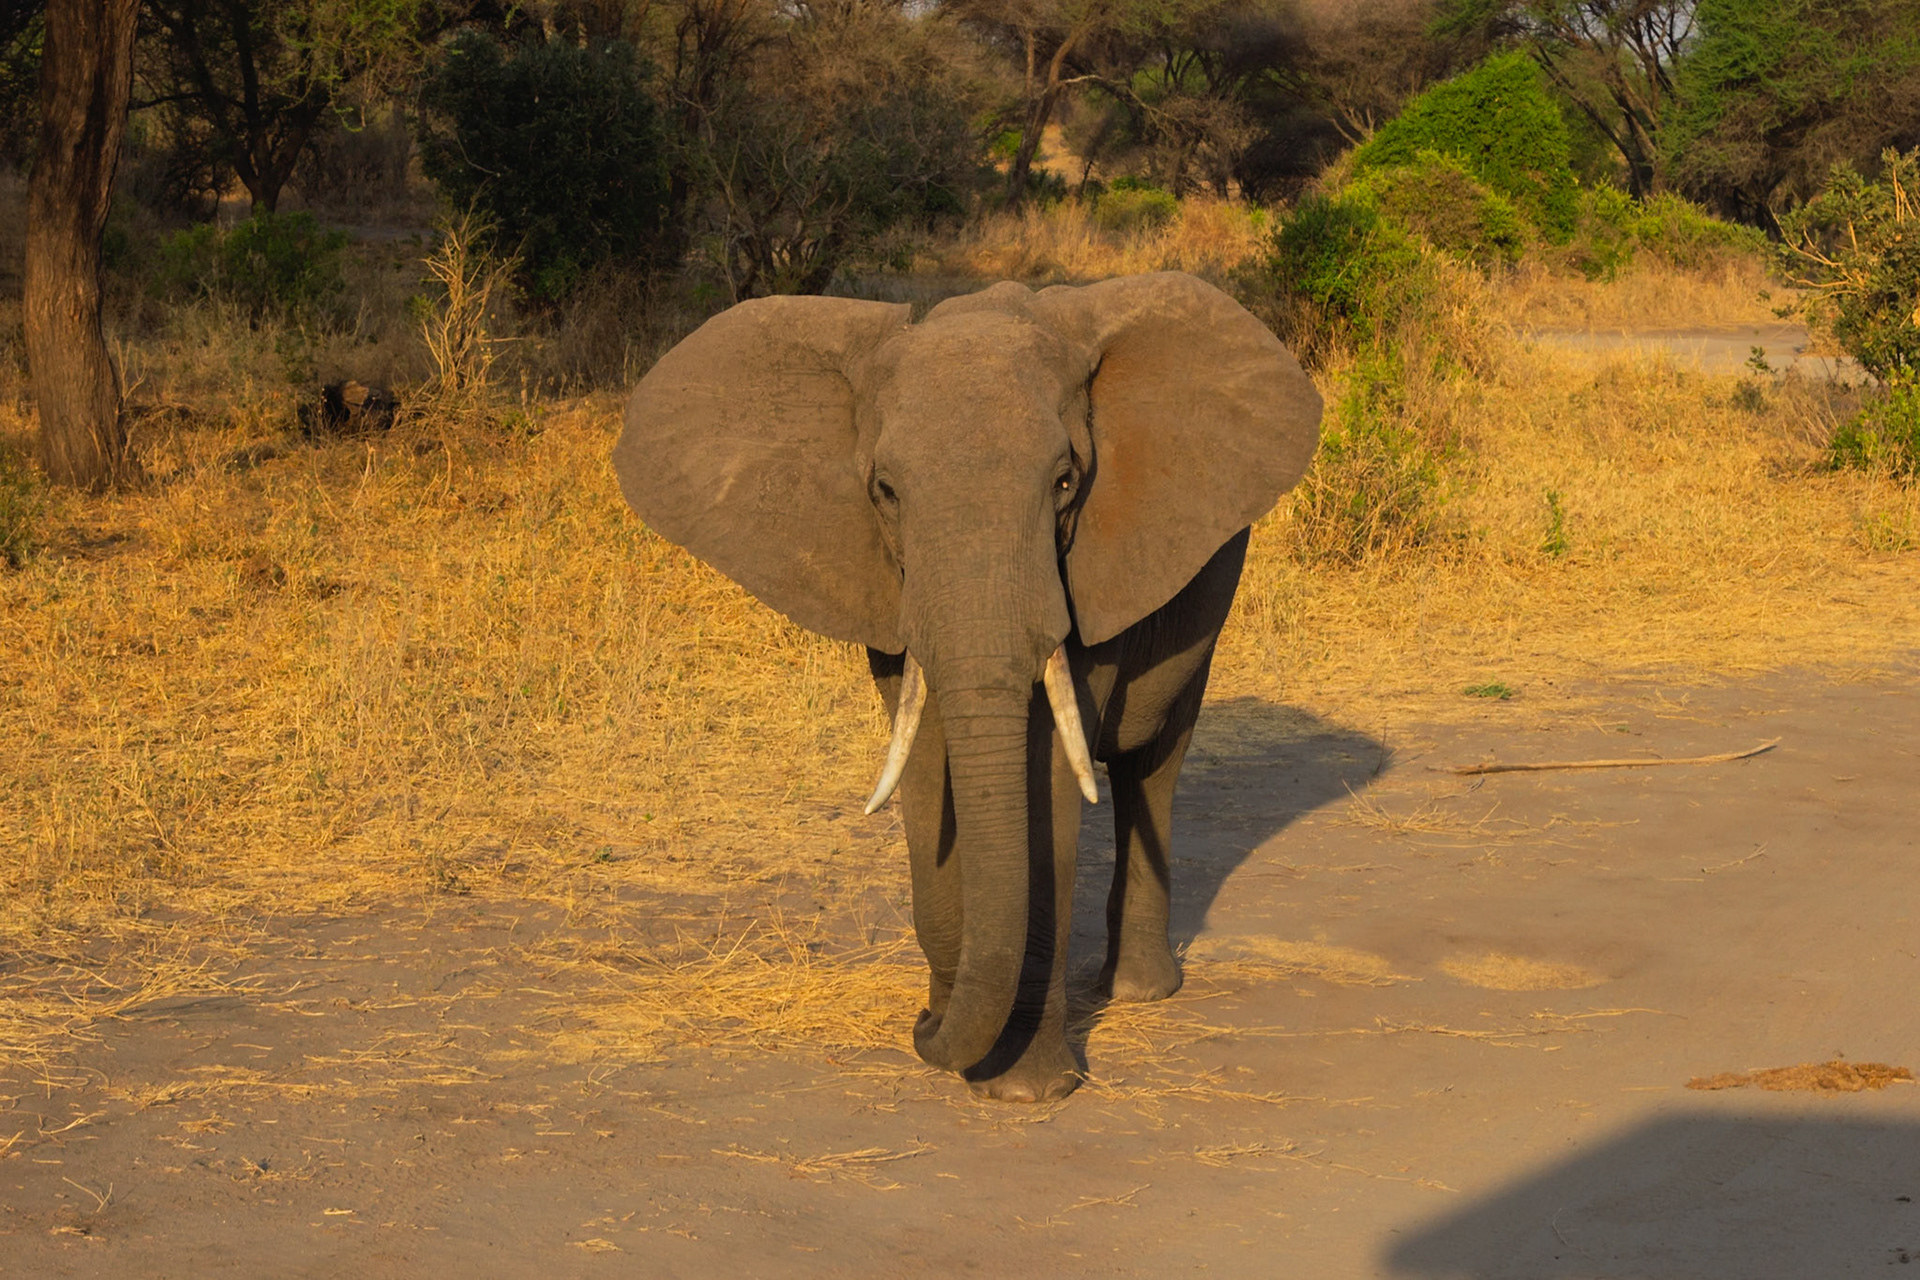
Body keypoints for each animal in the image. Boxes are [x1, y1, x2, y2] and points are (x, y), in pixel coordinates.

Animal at [613, 271, 1322, 1101]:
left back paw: (1138, 993)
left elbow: (1048, 774)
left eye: (1066, 482)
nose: (923, 1027)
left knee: (1153, 761)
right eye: (884, 490)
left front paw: (1026, 1090)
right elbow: (923, 761)